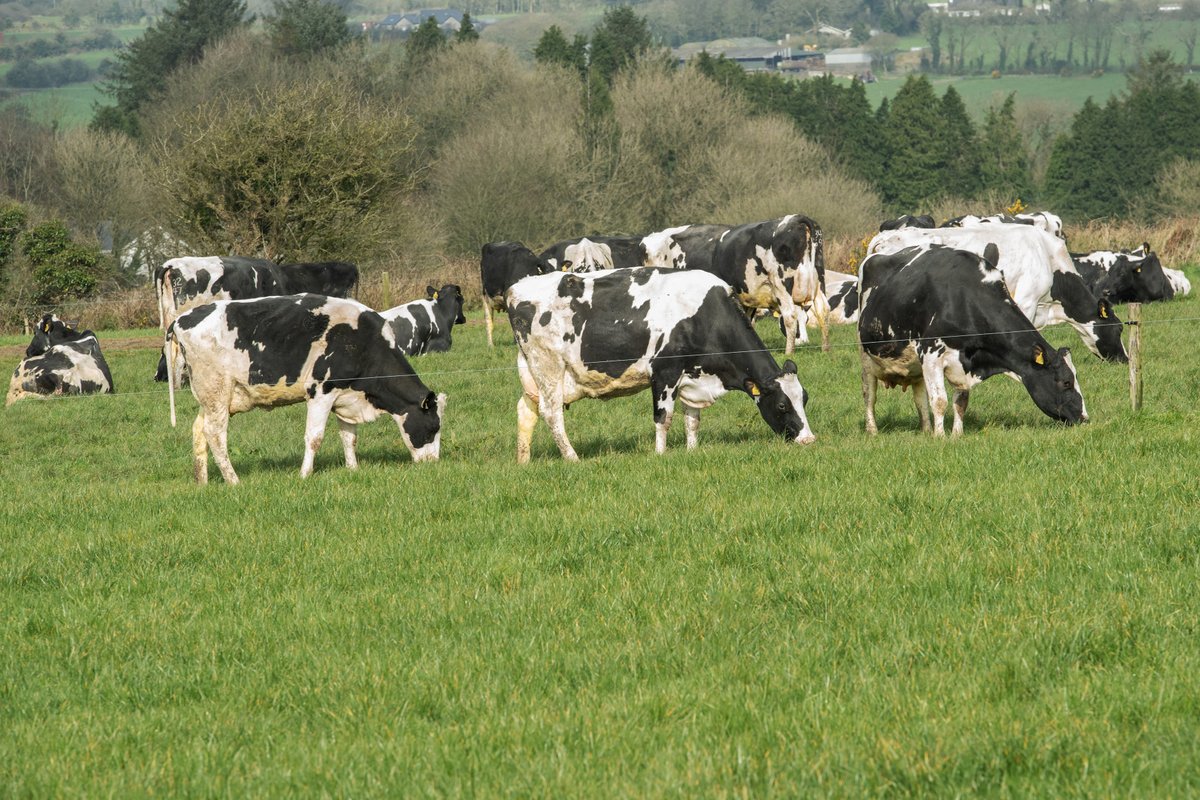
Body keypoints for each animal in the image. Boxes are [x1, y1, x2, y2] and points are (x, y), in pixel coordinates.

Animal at [165, 294, 446, 485]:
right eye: (433, 427)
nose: (433, 464)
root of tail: (181, 318)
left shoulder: (346, 397)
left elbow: (349, 437)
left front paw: (352, 469)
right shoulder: (321, 392)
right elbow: (314, 438)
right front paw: (304, 474)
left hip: (213, 399)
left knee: (199, 430)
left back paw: (202, 480)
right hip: (217, 391)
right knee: (215, 434)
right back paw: (233, 480)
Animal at [505, 268, 816, 462]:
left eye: (805, 399)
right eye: (781, 405)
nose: (808, 439)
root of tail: (516, 287)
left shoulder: (693, 375)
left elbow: (693, 420)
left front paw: (692, 450)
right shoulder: (665, 372)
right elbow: (663, 417)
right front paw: (660, 455)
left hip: (532, 372)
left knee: (526, 411)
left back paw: (523, 460)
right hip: (548, 366)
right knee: (552, 414)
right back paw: (572, 458)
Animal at [705, 215, 827, 355]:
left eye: (806, 320)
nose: (804, 343)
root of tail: (798, 218)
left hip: (781, 284)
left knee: (789, 315)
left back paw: (789, 352)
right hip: (819, 282)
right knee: (824, 312)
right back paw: (825, 349)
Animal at [858, 244, 1086, 436]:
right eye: (1066, 382)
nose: (1084, 418)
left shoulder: (963, 364)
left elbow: (960, 402)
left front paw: (956, 435)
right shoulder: (931, 354)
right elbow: (939, 401)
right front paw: (940, 437)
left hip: (914, 367)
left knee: (919, 397)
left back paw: (925, 429)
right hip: (866, 356)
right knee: (869, 395)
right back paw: (873, 431)